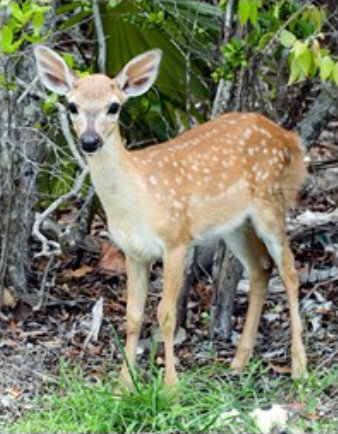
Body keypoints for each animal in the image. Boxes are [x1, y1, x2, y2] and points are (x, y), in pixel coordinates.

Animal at [34, 45, 306, 384]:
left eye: (114, 106)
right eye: (72, 105)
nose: (89, 141)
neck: (137, 198)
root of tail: (289, 138)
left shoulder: (176, 238)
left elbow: (166, 314)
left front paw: (170, 386)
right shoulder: (133, 251)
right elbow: (133, 315)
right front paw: (124, 385)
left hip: (271, 203)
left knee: (290, 271)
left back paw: (299, 367)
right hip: (234, 225)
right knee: (261, 267)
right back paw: (239, 361)